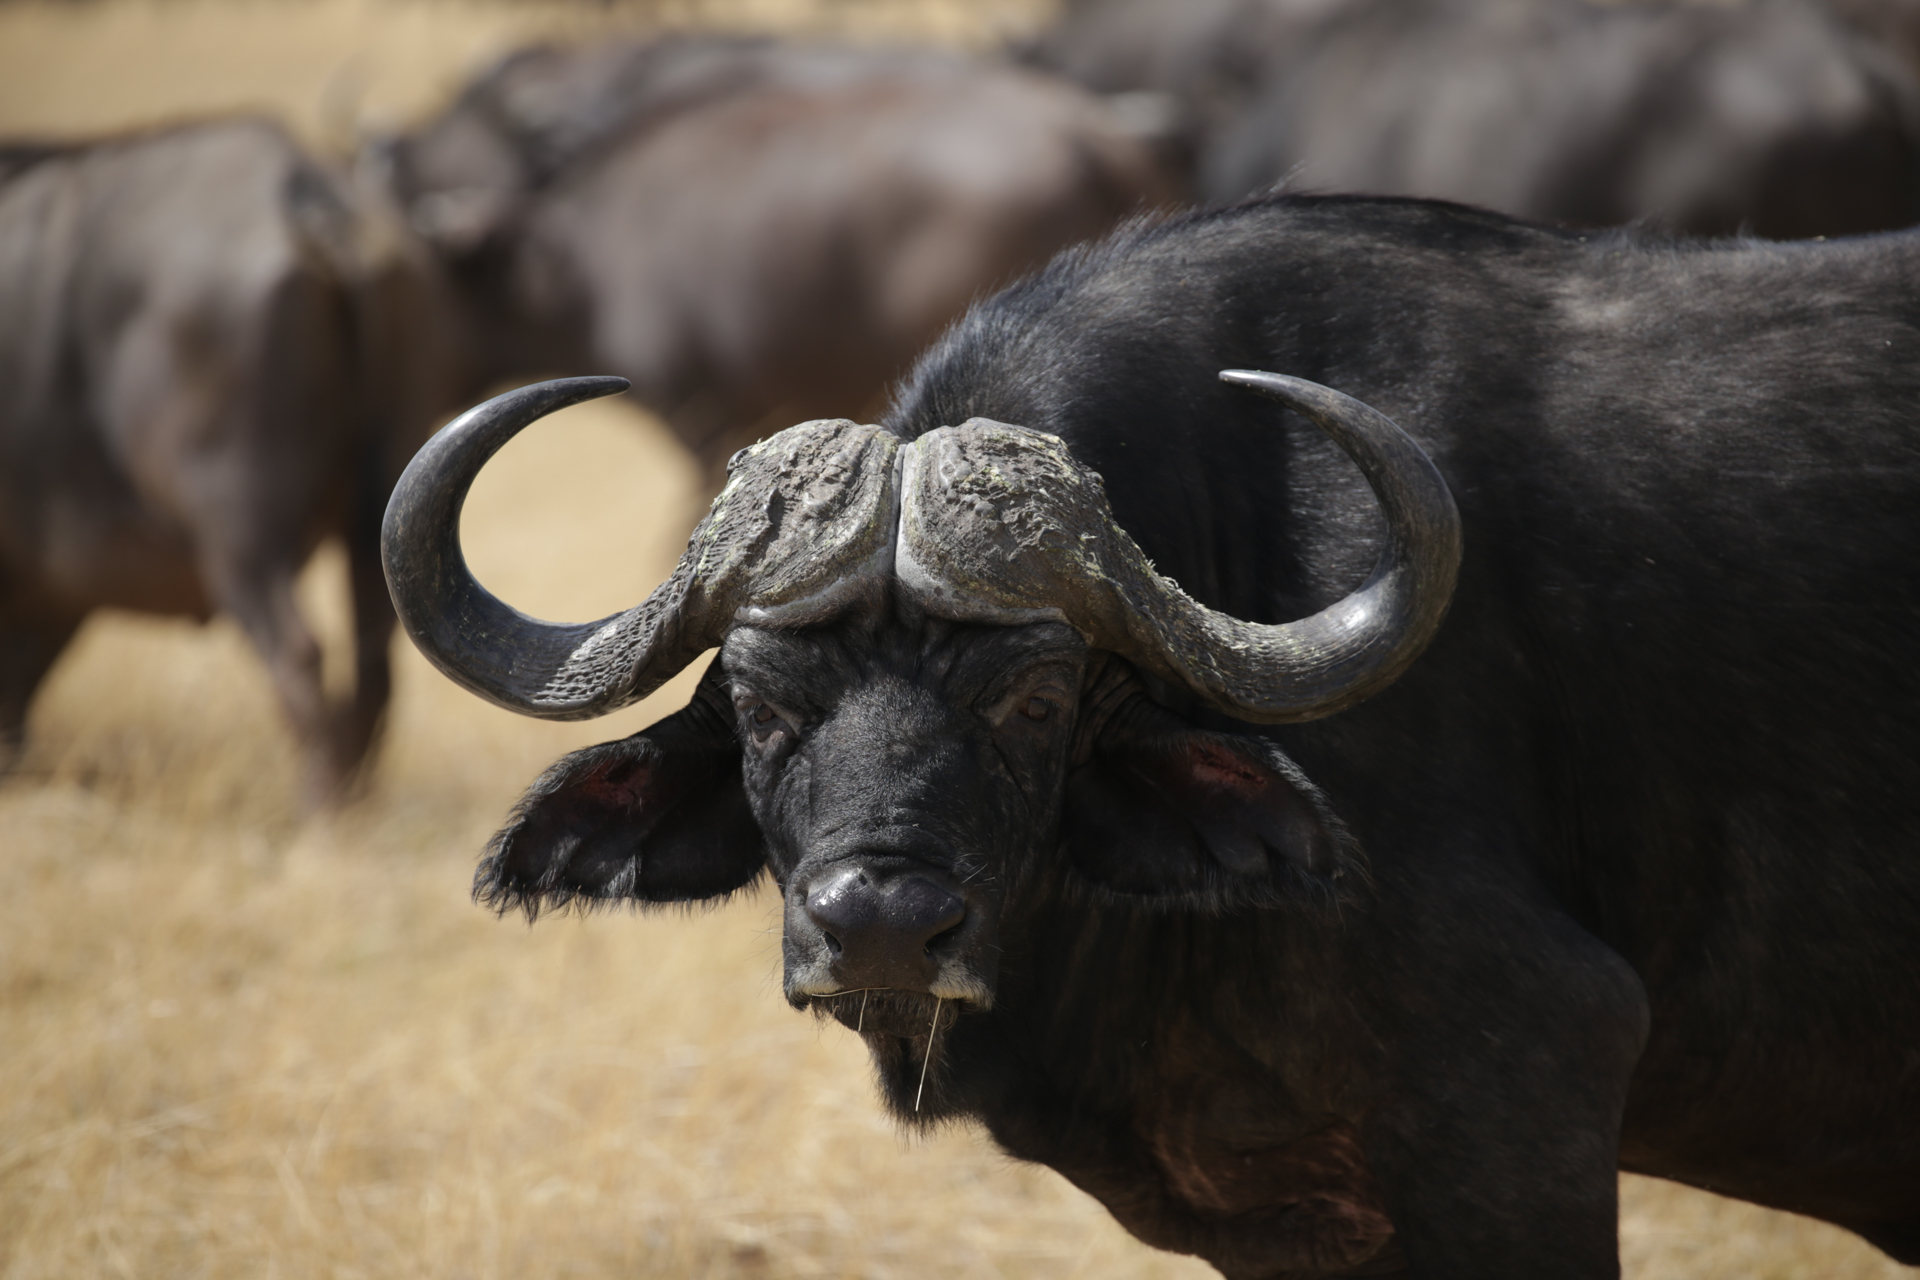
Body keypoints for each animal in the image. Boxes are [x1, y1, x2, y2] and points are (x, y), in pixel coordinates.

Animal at [0, 117, 460, 802]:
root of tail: (310, 201)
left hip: (238, 527)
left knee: (298, 653)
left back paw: (318, 805)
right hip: (384, 504)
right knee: (374, 658)